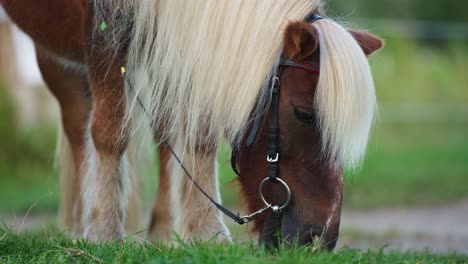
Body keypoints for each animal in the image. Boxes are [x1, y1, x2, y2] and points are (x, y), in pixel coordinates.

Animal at [0, 0, 382, 250]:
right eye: (303, 113)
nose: (321, 238)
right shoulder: (101, 29)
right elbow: (108, 131)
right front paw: (105, 232)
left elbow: (197, 135)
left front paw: (205, 232)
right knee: (79, 126)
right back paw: (83, 224)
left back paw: (163, 233)